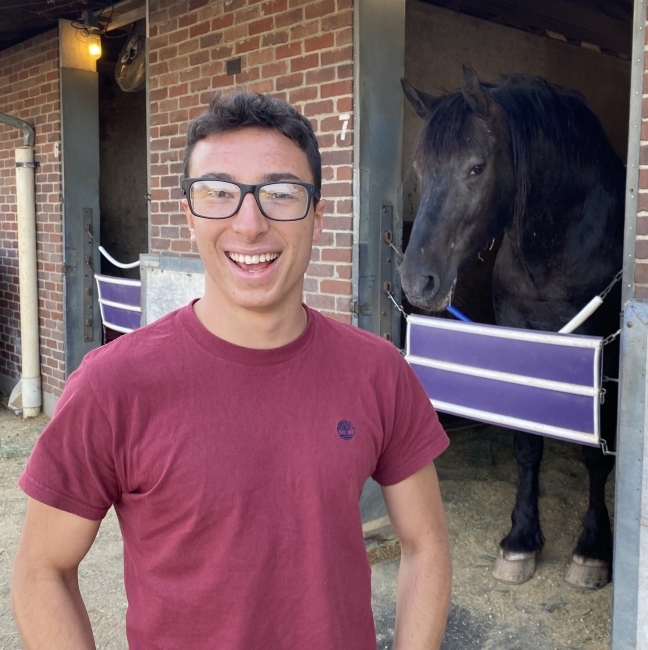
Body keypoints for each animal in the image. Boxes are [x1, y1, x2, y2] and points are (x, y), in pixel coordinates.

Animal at [402, 68, 624, 588]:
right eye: (420, 169)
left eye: (476, 168)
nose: (418, 281)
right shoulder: (516, 334)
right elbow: (527, 444)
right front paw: (521, 540)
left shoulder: (603, 354)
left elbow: (595, 456)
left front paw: (592, 550)